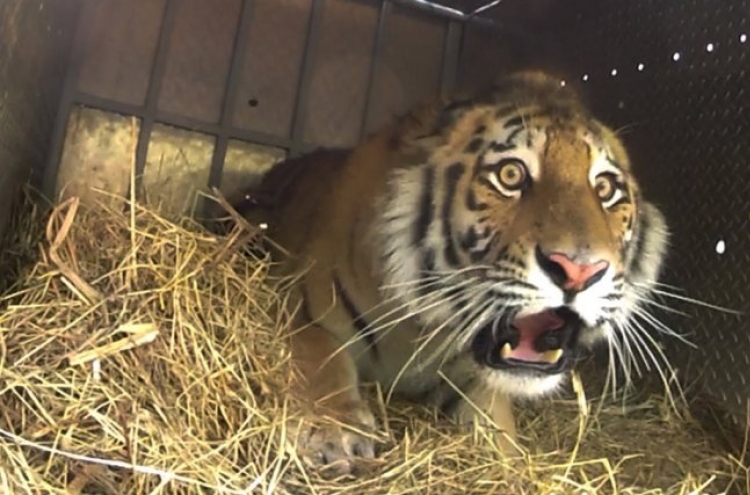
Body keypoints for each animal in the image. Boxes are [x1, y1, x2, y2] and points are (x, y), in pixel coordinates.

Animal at [226, 70, 672, 472]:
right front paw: (335, 433)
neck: (420, 331)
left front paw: (509, 466)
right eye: (510, 174)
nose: (579, 271)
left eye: (606, 189)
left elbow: (497, 425)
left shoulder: (475, 379)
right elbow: (321, 358)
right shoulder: (295, 305)